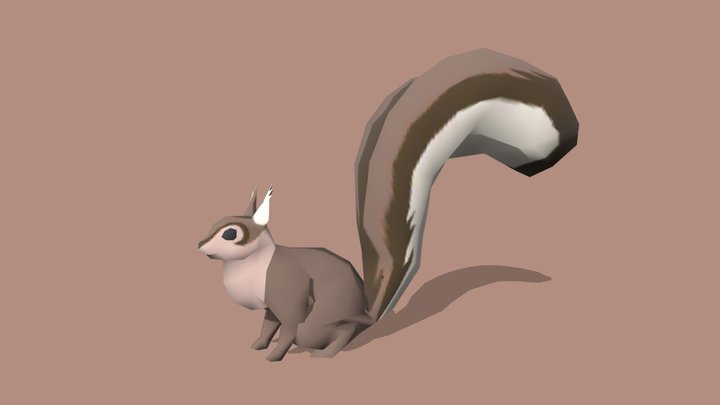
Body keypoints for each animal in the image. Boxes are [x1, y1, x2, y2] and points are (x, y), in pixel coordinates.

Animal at [197, 48, 579, 361]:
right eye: (214, 225)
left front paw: (273, 354)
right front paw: (259, 344)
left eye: (231, 234)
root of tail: (367, 313)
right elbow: (268, 324)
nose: (200, 246)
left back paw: (322, 352)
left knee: (327, 332)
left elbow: (286, 325)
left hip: (323, 318)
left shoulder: (287, 293)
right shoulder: (271, 305)